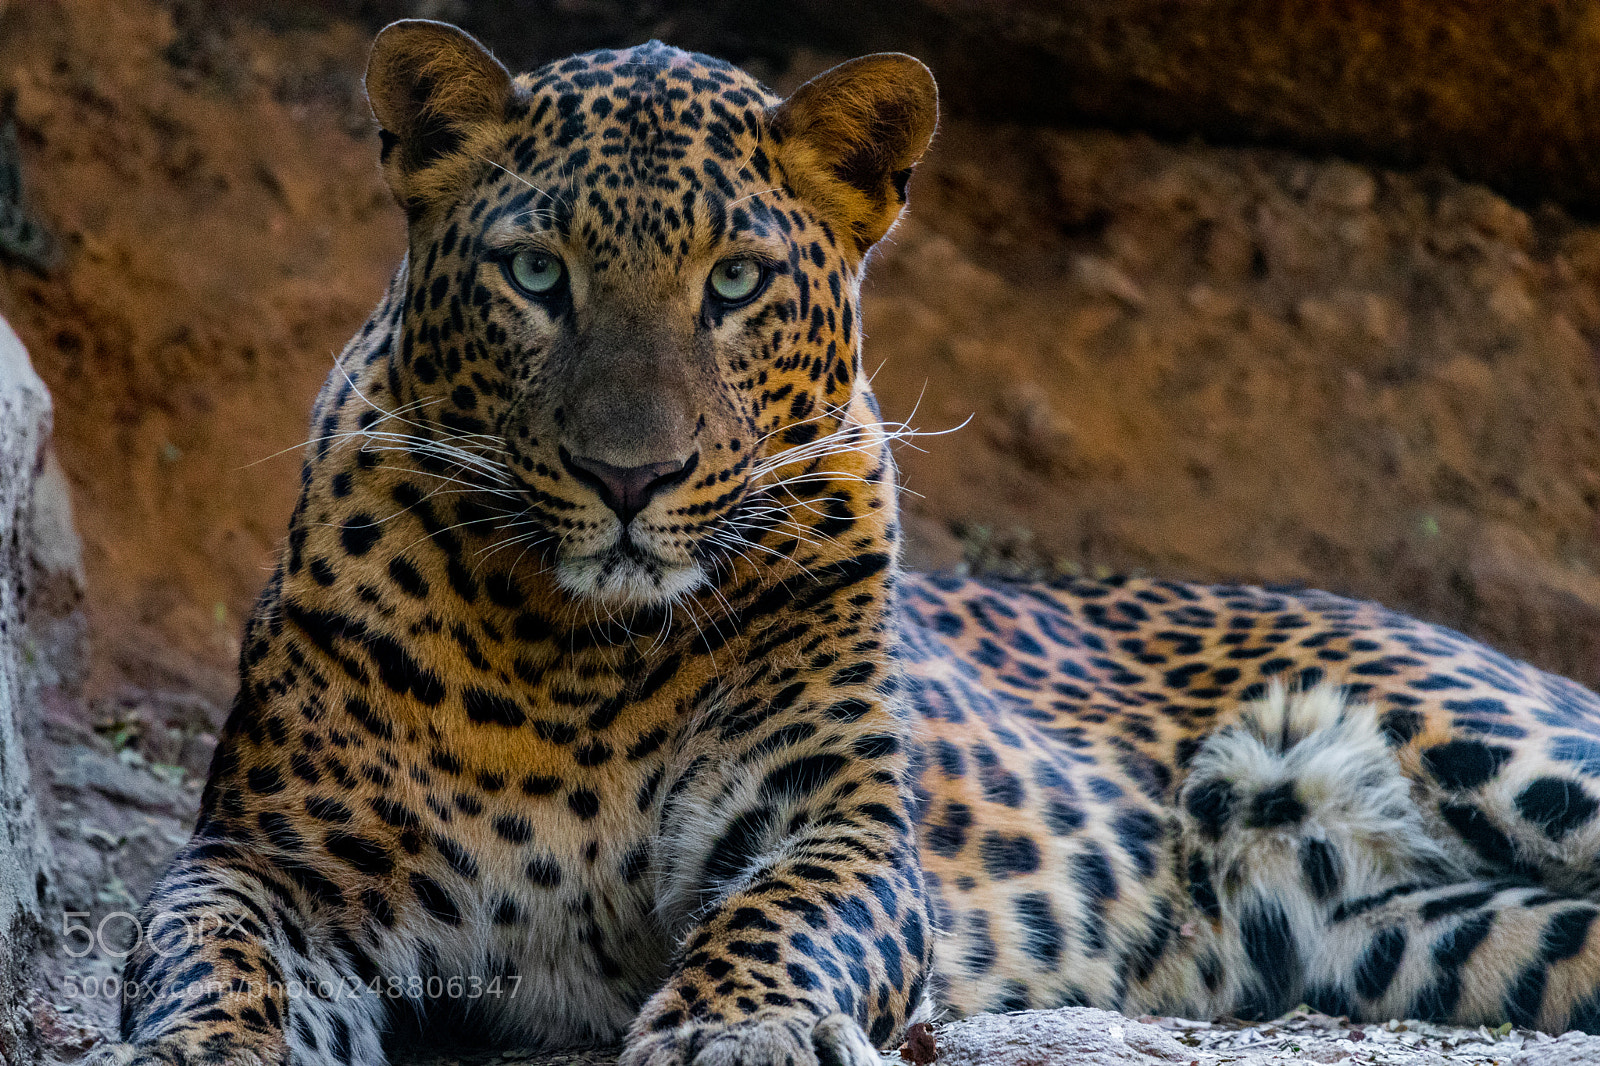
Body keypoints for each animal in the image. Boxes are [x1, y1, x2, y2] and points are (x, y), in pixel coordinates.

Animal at [98, 18, 1600, 1066]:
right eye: (535, 274)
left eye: (734, 282)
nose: (629, 476)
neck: (579, 648)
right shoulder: (274, 854)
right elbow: (200, 944)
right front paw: (201, 1044)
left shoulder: (840, 820)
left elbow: (783, 919)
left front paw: (733, 1029)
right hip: (1438, 938)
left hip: (1502, 742)